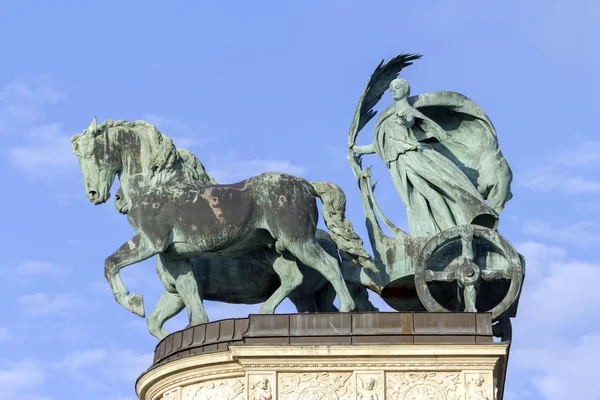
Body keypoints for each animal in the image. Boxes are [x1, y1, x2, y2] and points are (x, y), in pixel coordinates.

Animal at [72, 116, 378, 322]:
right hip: (279, 249)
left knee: (329, 268)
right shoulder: (175, 257)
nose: (94, 194)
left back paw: (346, 312)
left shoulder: (149, 242)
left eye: (89, 153)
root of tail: (307, 184)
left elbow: (110, 263)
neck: (155, 185)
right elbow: (188, 301)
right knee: (293, 277)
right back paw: (264, 313)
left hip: (298, 241)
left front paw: (133, 302)